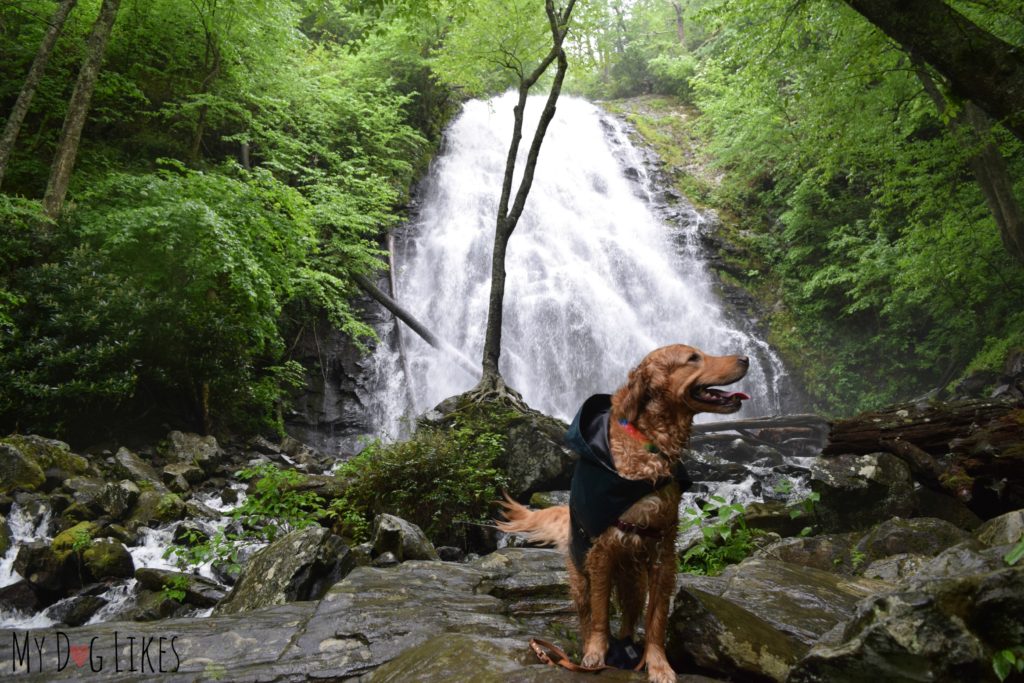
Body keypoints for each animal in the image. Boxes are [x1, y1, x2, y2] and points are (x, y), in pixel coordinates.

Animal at [497, 348, 749, 683]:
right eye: (693, 357)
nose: (746, 359)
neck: (650, 446)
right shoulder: (602, 551)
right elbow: (600, 615)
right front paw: (595, 653)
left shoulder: (662, 554)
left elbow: (657, 619)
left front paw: (657, 663)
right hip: (581, 578)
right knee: (587, 613)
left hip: (635, 581)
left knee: (630, 617)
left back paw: (630, 648)